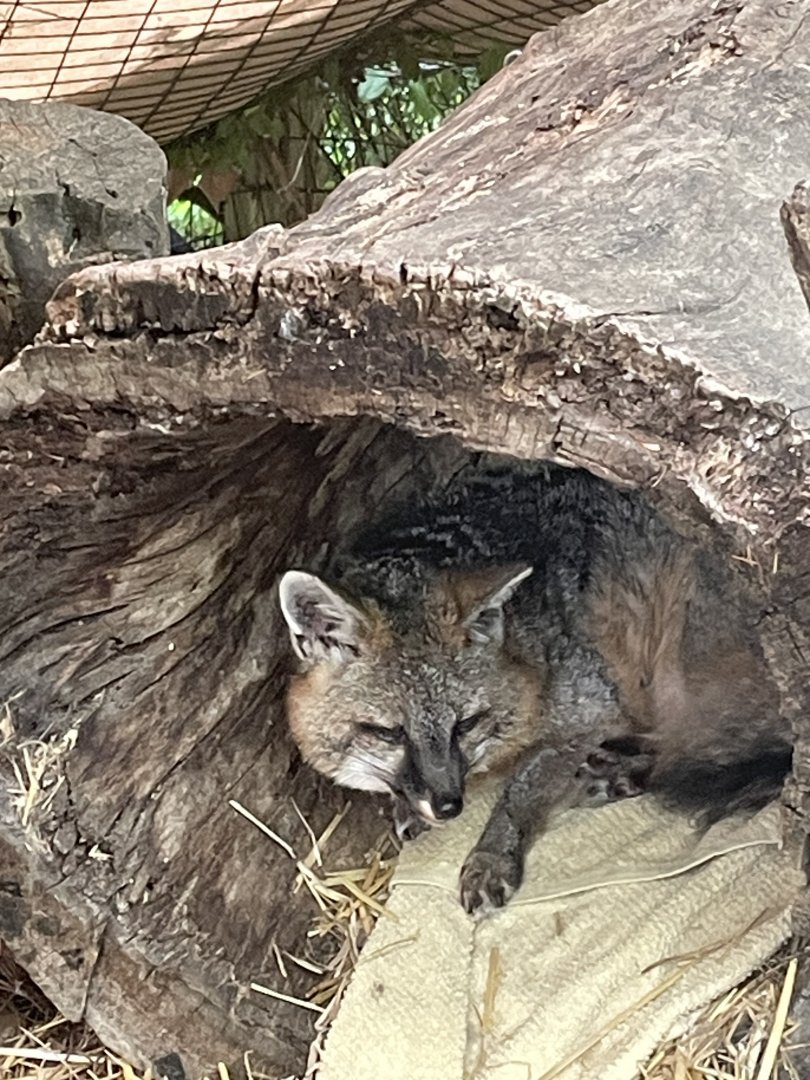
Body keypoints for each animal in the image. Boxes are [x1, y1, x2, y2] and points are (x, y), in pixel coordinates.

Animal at [278, 463, 793, 915]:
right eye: (389, 733)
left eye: (466, 724)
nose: (449, 805)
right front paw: (407, 807)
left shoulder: (591, 708)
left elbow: (521, 789)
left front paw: (491, 855)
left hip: (679, 671)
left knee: (716, 751)